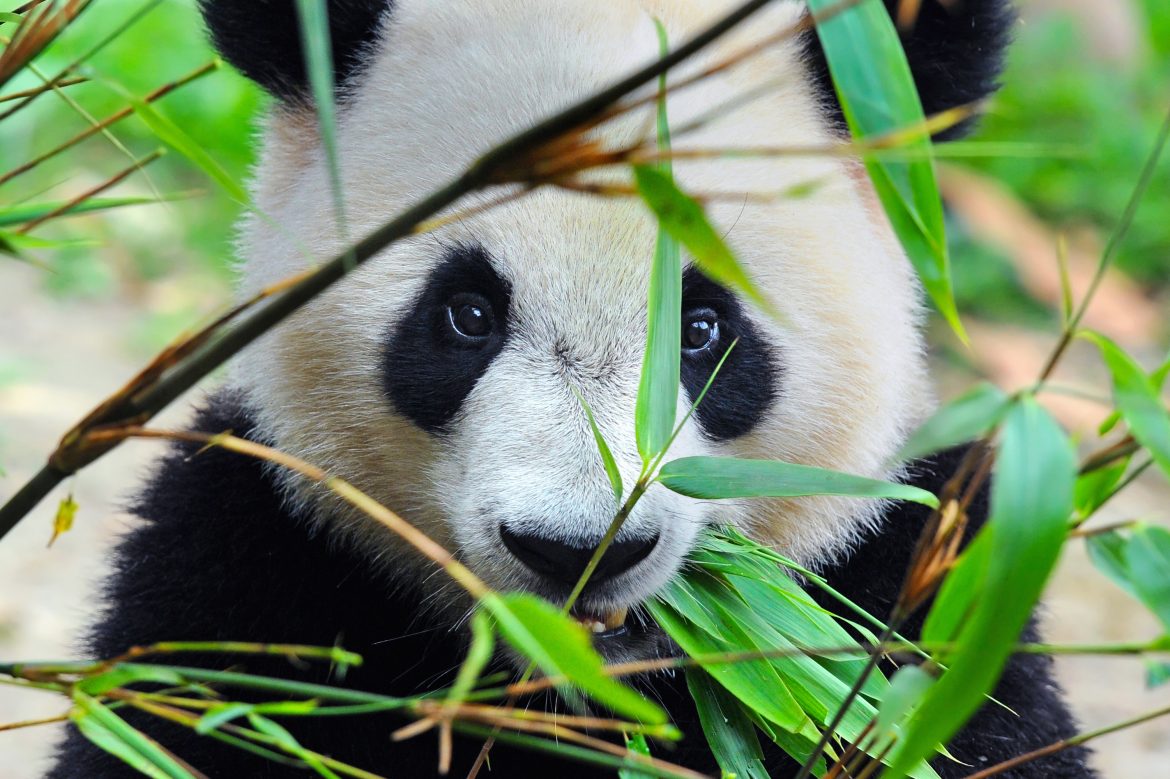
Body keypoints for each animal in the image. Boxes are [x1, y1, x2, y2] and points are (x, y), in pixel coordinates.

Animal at [49, 1, 1095, 777]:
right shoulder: (254, 562)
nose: (578, 550)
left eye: (703, 329)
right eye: (467, 314)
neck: (575, 688)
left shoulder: (916, 594)